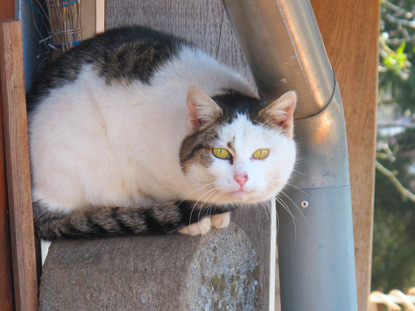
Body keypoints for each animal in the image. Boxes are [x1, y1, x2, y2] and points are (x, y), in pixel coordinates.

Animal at [27, 26, 298, 241]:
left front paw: (218, 215)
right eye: (221, 153)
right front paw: (196, 221)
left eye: (261, 154)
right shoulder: (136, 157)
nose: (242, 178)